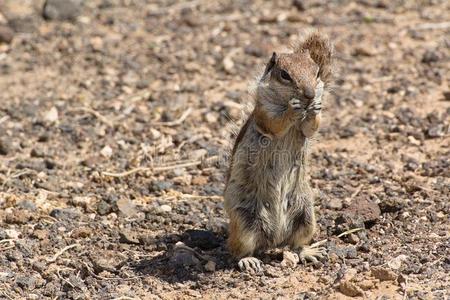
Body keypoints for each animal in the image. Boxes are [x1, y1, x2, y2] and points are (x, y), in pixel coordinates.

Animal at [223, 32, 332, 272]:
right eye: (284, 75)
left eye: (317, 72)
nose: (310, 95)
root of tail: (274, 239)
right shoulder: (264, 113)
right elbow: (275, 124)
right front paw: (292, 109)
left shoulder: (306, 126)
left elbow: (311, 128)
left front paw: (314, 111)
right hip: (244, 221)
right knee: (236, 249)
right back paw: (248, 260)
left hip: (306, 215)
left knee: (295, 244)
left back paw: (307, 252)